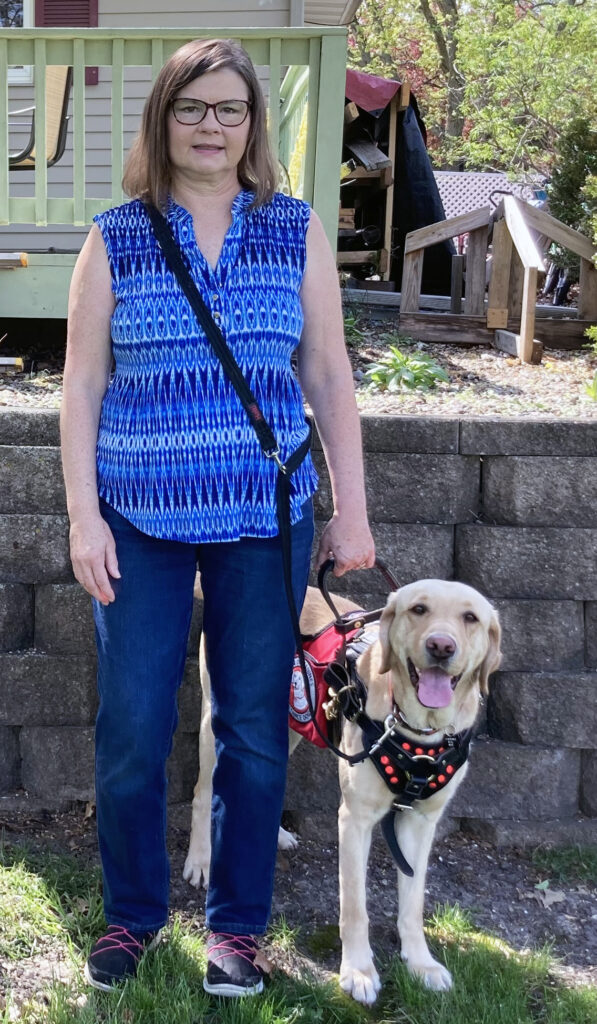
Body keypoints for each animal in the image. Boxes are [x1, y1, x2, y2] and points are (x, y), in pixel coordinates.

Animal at [184, 581, 501, 1003]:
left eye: (470, 618)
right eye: (419, 609)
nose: (440, 646)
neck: (418, 731)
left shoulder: (421, 823)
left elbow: (413, 903)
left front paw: (421, 963)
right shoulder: (356, 820)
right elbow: (354, 906)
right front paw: (358, 971)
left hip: (287, 723)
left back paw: (275, 834)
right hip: (213, 722)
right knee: (203, 792)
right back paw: (201, 860)